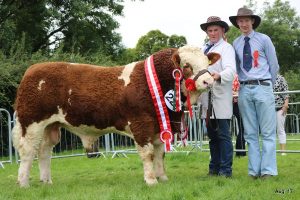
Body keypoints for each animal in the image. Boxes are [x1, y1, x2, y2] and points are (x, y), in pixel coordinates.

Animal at [12, 45, 218, 188]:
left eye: (207, 63)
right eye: (187, 65)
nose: (208, 81)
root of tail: (31, 70)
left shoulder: (160, 126)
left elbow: (160, 154)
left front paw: (163, 178)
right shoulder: (141, 125)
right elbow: (148, 154)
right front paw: (151, 180)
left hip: (51, 126)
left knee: (44, 152)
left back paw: (46, 182)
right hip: (32, 123)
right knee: (28, 151)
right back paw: (23, 184)